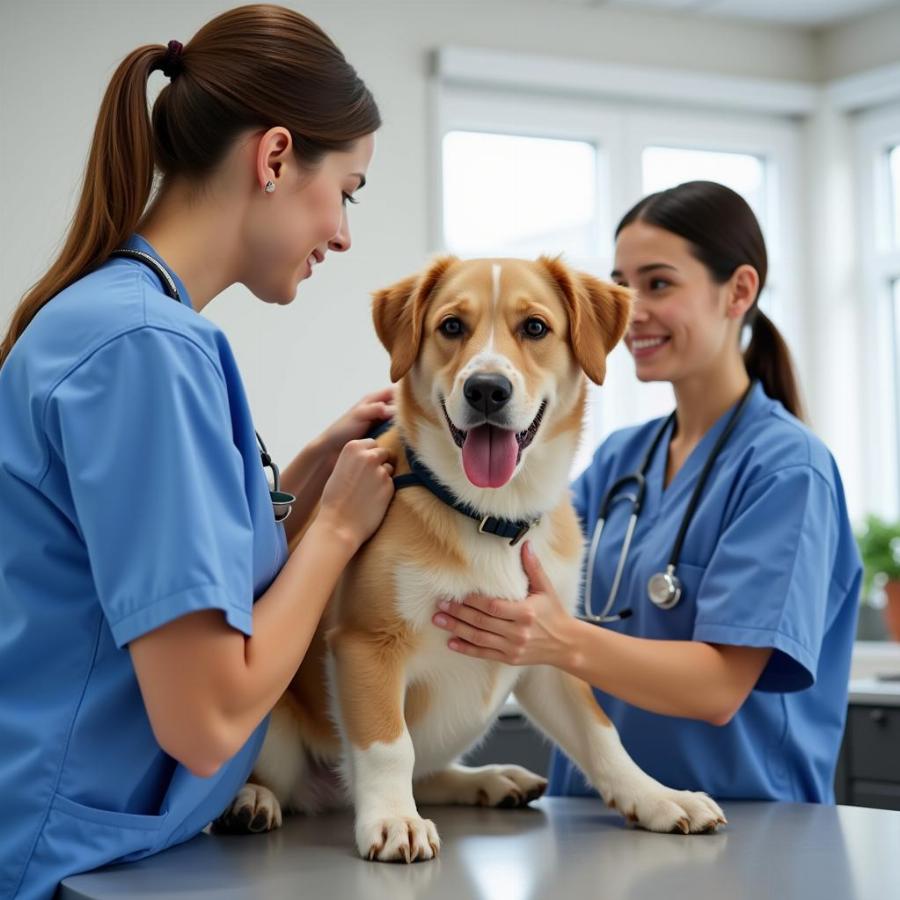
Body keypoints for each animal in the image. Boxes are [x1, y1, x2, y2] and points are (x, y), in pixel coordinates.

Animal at [214, 253, 728, 856]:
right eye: (452, 326)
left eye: (535, 327)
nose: (487, 389)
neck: (490, 513)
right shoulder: (365, 644)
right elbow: (389, 745)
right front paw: (393, 819)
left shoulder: (546, 647)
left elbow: (601, 733)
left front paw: (658, 797)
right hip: (273, 726)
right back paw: (250, 800)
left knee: (430, 773)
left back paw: (491, 780)